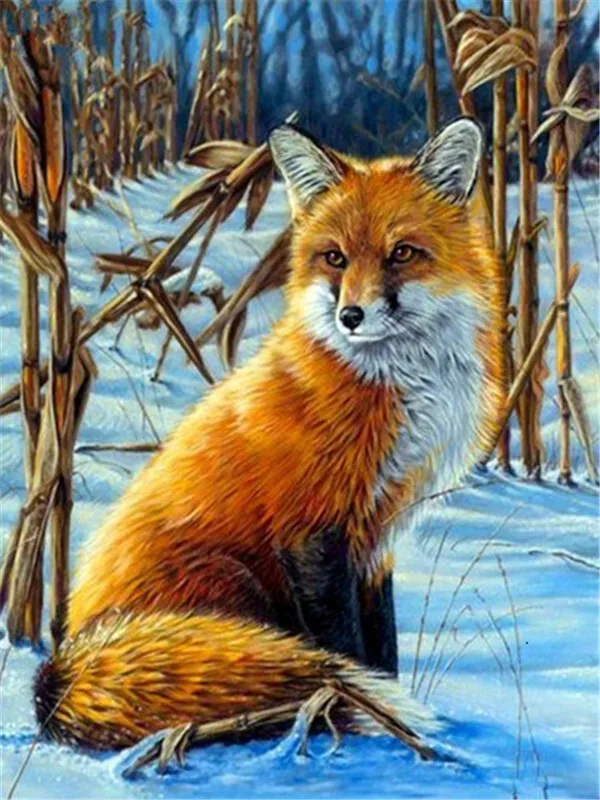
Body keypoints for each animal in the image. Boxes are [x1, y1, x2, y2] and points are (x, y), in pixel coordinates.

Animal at [34, 118, 504, 751]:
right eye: (334, 258)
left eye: (402, 253)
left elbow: (382, 648)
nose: (350, 316)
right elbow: (347, 648)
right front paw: (372, 720)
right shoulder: (312, 530)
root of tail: (62, 667)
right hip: (233, 584)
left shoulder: (377, 538)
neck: (393, 385)